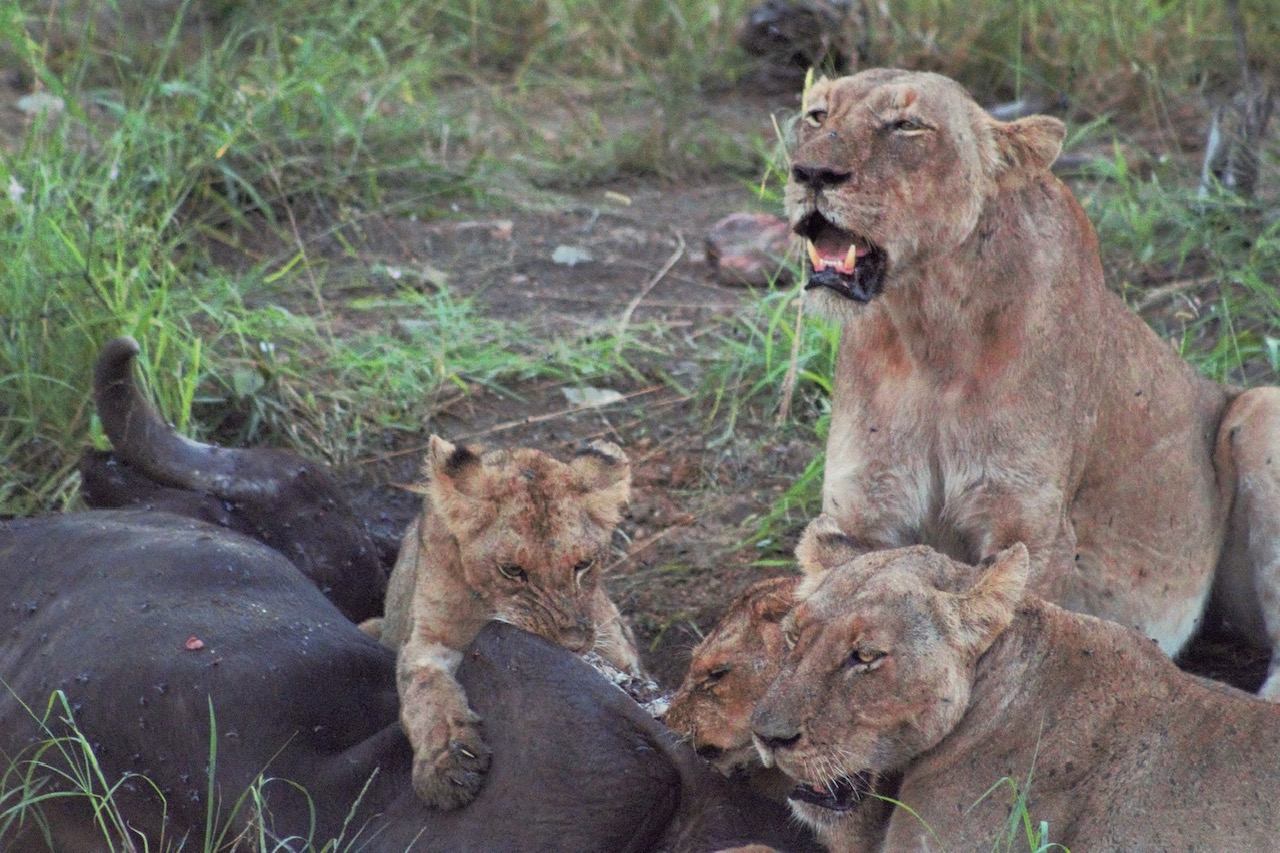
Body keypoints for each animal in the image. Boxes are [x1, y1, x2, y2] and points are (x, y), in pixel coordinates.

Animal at [363, 435, 643, 810]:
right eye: (512, 570)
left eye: (583, 564)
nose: (571, 645)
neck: (487, 603)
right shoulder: (428, 638)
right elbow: (424, 692)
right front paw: (448, 765)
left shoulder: (615, 640)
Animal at [788, 68, 1280, 694]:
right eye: (817, 115)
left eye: (907, 125)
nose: (811, 173)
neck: (930, 332)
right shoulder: (860, 513)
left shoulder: (1031, 529)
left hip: (1261, 406)